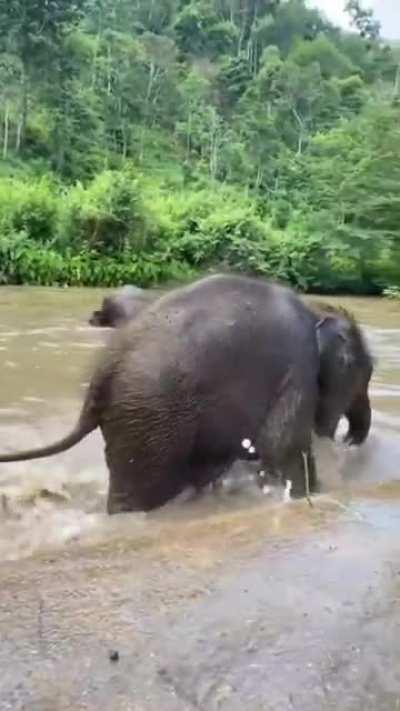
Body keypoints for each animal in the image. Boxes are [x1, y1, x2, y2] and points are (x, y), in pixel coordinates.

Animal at [0, 274, 373, 513]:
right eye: (364, 375)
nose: (350, 441)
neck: (316, 310)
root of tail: (101, 375)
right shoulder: (297, 367)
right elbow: (282, 444)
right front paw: (316, 495)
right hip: (150, 422)